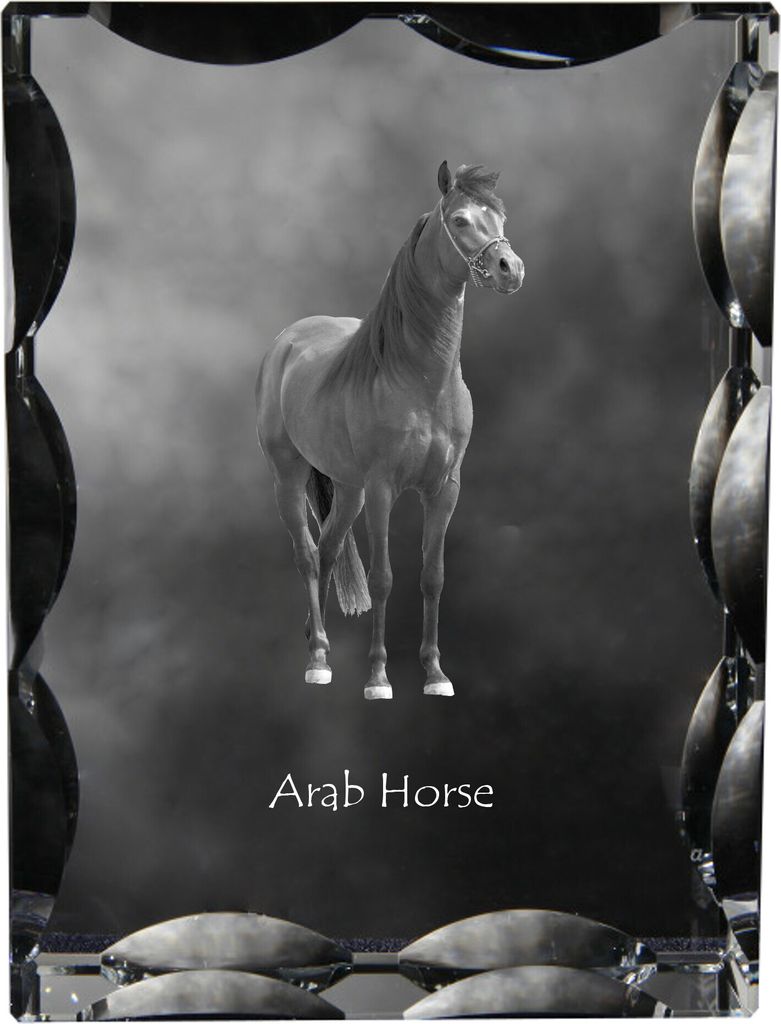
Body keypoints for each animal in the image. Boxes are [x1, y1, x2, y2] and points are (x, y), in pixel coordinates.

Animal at [256, 161, 524, 699]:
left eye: (499, 217)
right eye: (460, 219)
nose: (512, 268)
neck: (420, 380)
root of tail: (286, 341)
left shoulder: (444, 489)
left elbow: (433, 576)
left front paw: (436, 674)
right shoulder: (383, 488)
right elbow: (383, 578)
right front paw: (379, 678)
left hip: (348, 489)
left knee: (329, 549)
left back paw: (319, 642)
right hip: (290, 479)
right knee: (307, 555)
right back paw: (317, 660)